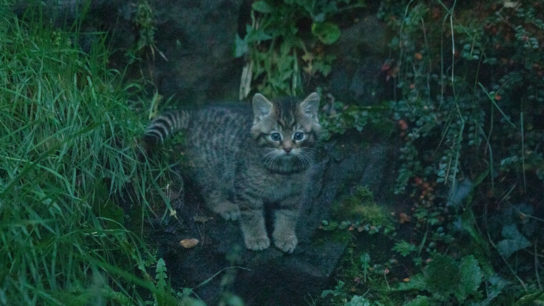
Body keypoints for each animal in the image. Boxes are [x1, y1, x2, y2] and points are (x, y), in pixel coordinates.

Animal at [146, 92, 324, 252]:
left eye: (298, 135)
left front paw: (284, 236)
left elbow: (288, 215)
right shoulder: (246, 189)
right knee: (211, 191)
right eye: (275, 136)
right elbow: (251, 215)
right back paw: (224, 206)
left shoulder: (293, 194)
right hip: (212, 168)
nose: (287, 149)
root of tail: (195, 115)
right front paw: (256, 237)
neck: (282, 169)